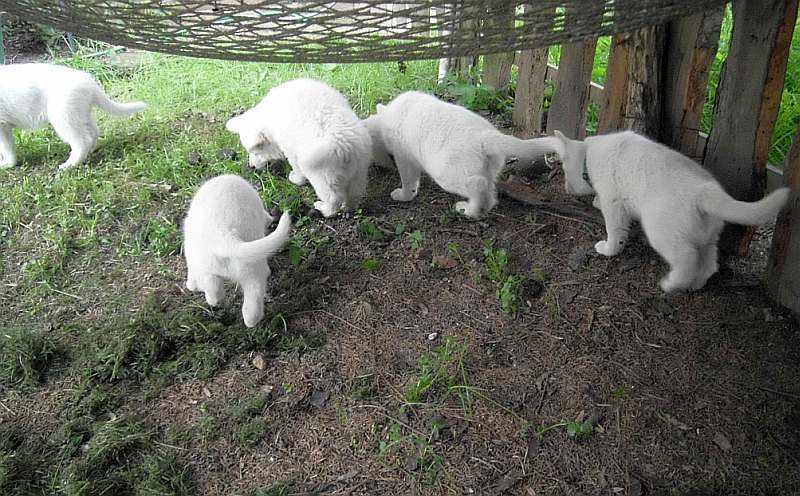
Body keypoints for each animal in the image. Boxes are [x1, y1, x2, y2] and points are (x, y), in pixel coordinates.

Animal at [0, 63, 147, 171]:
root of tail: (90, 83)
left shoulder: (2, 126)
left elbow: (5, 147)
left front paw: (7, 164)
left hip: (64, 116)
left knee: (82, 140)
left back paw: (70, 164)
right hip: (80, 114)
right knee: (93, 133)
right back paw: (89, 152)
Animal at [225, 78, 372, 216]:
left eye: (256, 153)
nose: (252, 166)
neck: (268, 118)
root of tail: (345, 145)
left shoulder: (291, 150)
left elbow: (296, 168)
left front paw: (295, 179)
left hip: (322, 176)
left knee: (333, 198)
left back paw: (324, 209)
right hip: (359, 170)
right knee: (355, 194)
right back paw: (348, 208)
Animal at [362, 91, 556, 219]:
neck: (386, 118)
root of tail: (485, 136)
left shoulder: (404, 157)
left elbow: (408, 181)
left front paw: (404, 196)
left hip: (446, 174)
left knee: (478, 185)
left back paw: (467, 209)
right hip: (488, 169)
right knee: (490, 193)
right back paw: (477, 209)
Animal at [552, 130, 788, 292]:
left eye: (564, 170)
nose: (565, 187)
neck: (590, 153)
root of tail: (705, 191)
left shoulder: (614, 203)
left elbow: (614, 232)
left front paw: (609, 249)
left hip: (662, 233)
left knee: (686, 259)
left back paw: (671, 284)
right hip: (707, 239)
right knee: (709, 264)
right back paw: (694, 285)